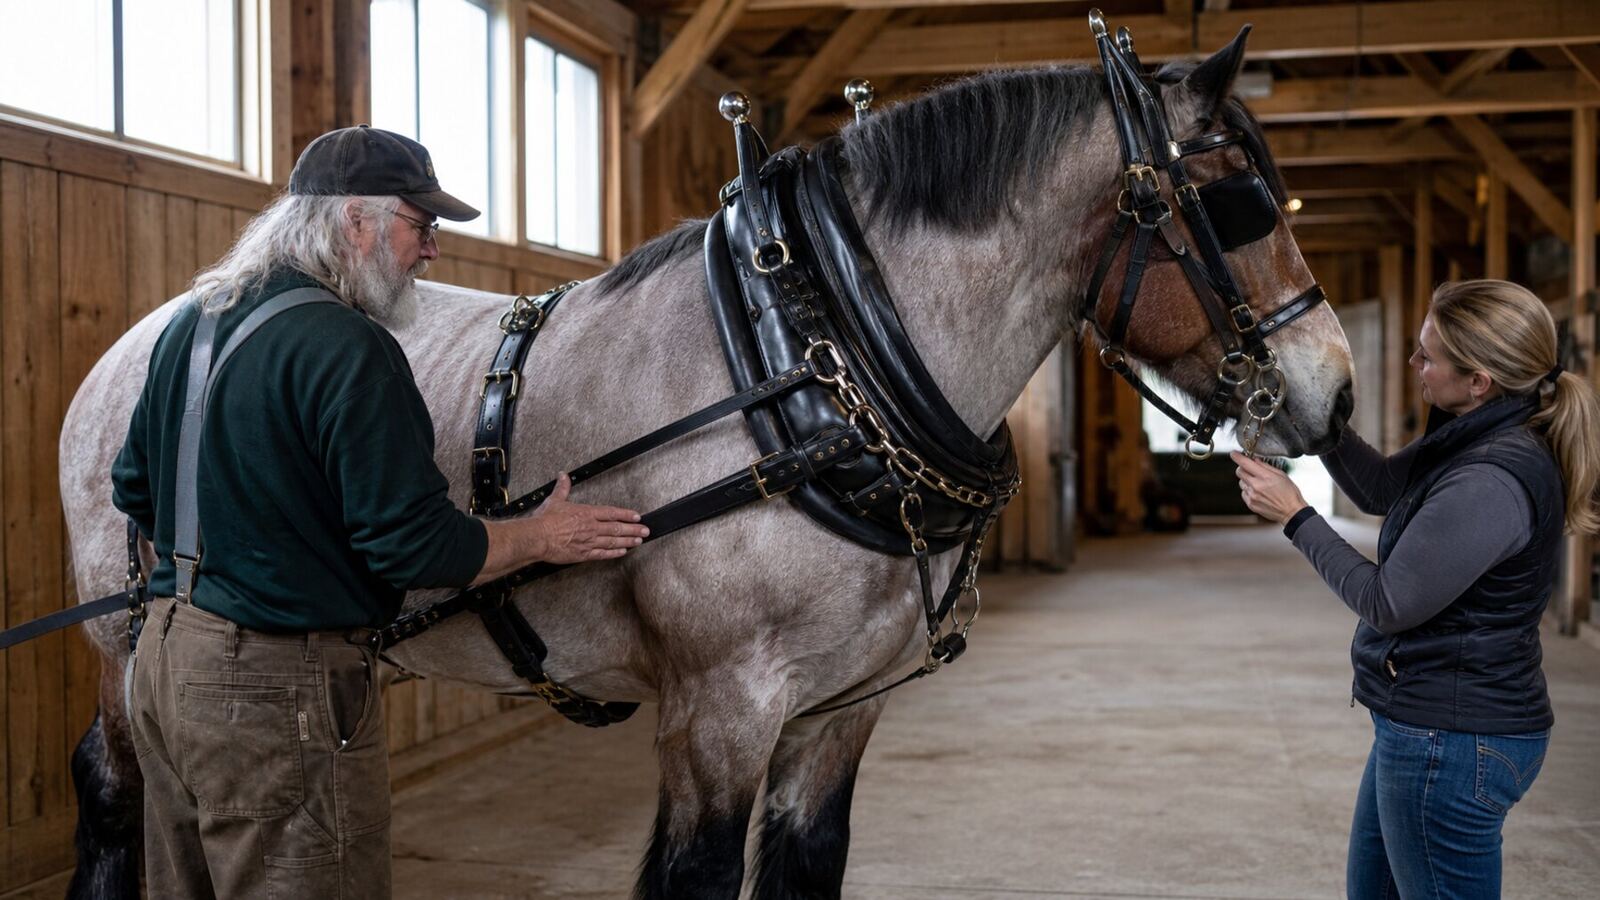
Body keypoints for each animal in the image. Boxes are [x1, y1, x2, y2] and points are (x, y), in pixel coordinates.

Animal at [57, 28, 1353, 899]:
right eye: (1236, 199)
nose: (1333, 392)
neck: (811, 368)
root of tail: (158, 331)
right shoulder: (718, 713)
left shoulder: (840, 711)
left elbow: (804, 866)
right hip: (124, 644)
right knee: (120, 791)